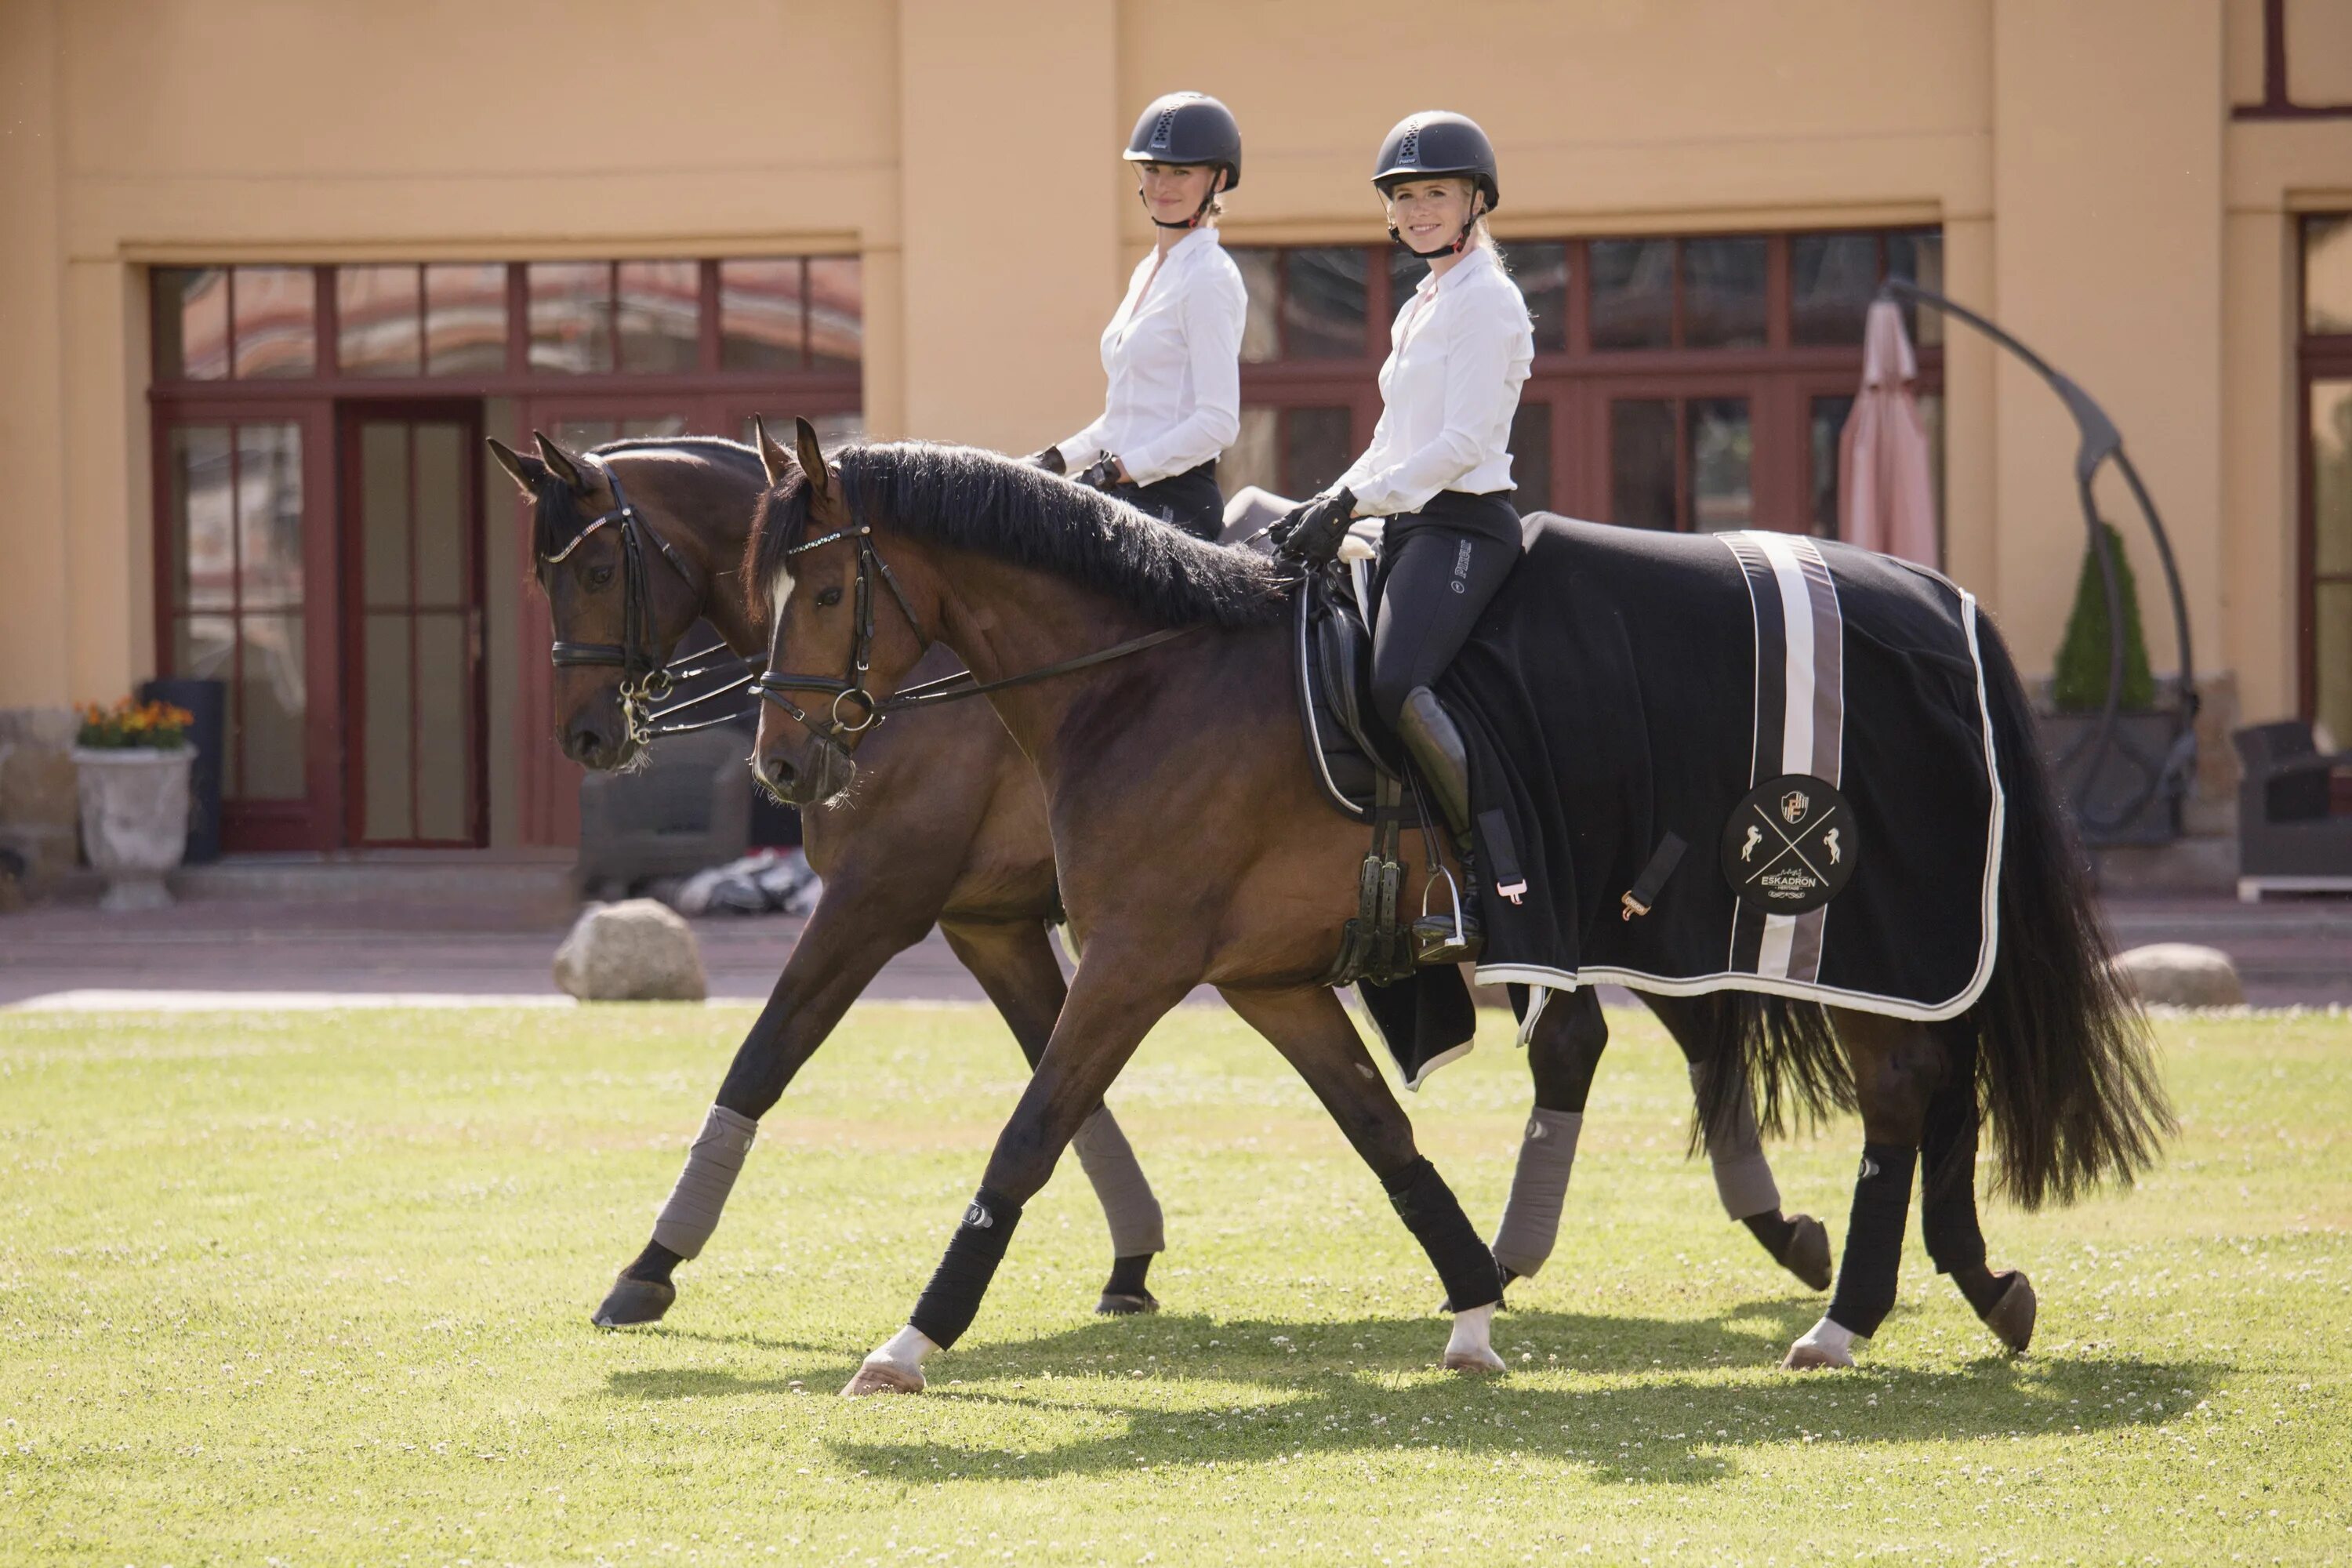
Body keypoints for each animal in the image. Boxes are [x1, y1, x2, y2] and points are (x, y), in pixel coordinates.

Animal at [748, 423, 2164, 1392]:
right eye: (767, 592)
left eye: (822, 592)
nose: (780, 766)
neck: (1152, 680)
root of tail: (1940, 599)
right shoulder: (1265, 980)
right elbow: (1387, 1140)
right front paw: (1476, 1302)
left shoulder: (1134, 963)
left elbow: (1028, 1136)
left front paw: (912, 1337)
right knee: (1927, 1089)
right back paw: (1969, 1285)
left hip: (1844, 936)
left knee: (1898, 1094)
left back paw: (1846, 1313)